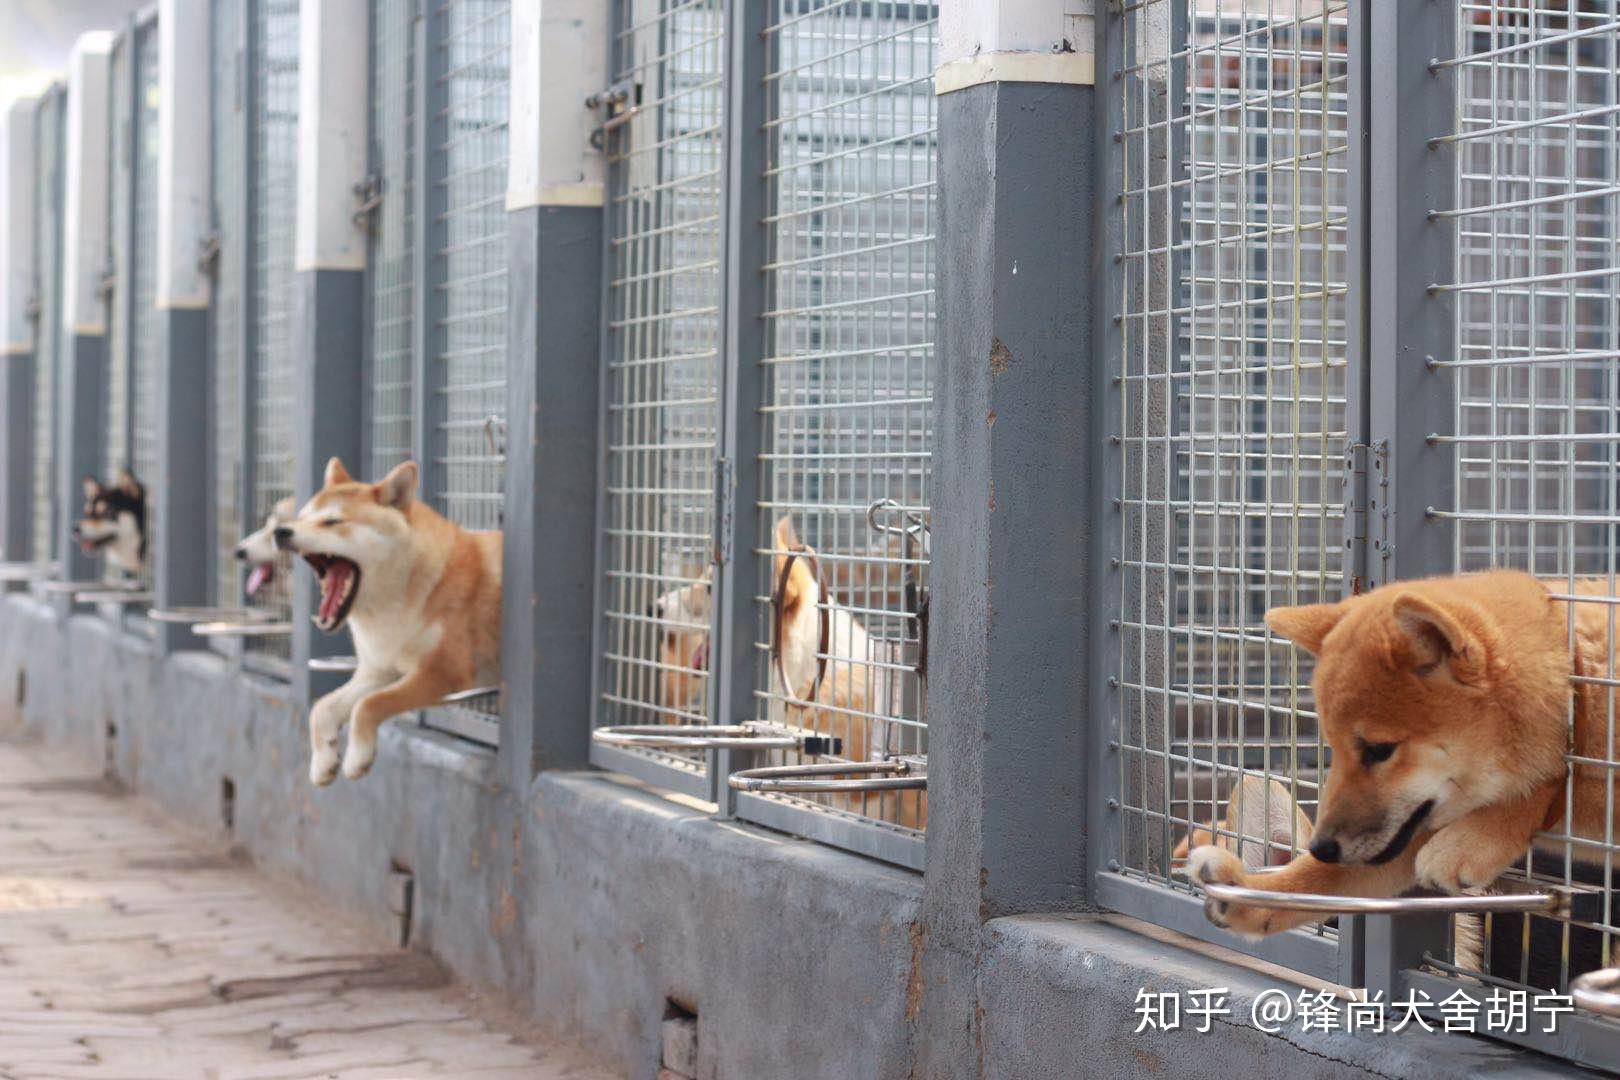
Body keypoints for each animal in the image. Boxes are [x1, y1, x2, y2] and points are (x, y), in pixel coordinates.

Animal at [278, 459, 502, 786]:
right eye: (302, 517)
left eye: (332, 522)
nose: (280, 532)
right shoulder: (378, 670)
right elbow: (322, 708)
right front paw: (323, 762)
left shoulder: (443, 671)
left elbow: (369, 705)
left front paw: (357, 758)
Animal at [1185, 573, 1613, 939]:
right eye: (1333, 746)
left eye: (1379, 750)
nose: (1323, 849)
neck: (1583, 691)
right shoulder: (1403, 830)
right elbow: (1318, 882)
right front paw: (1248, 896)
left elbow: (1561, 781)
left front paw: (1472, 841)